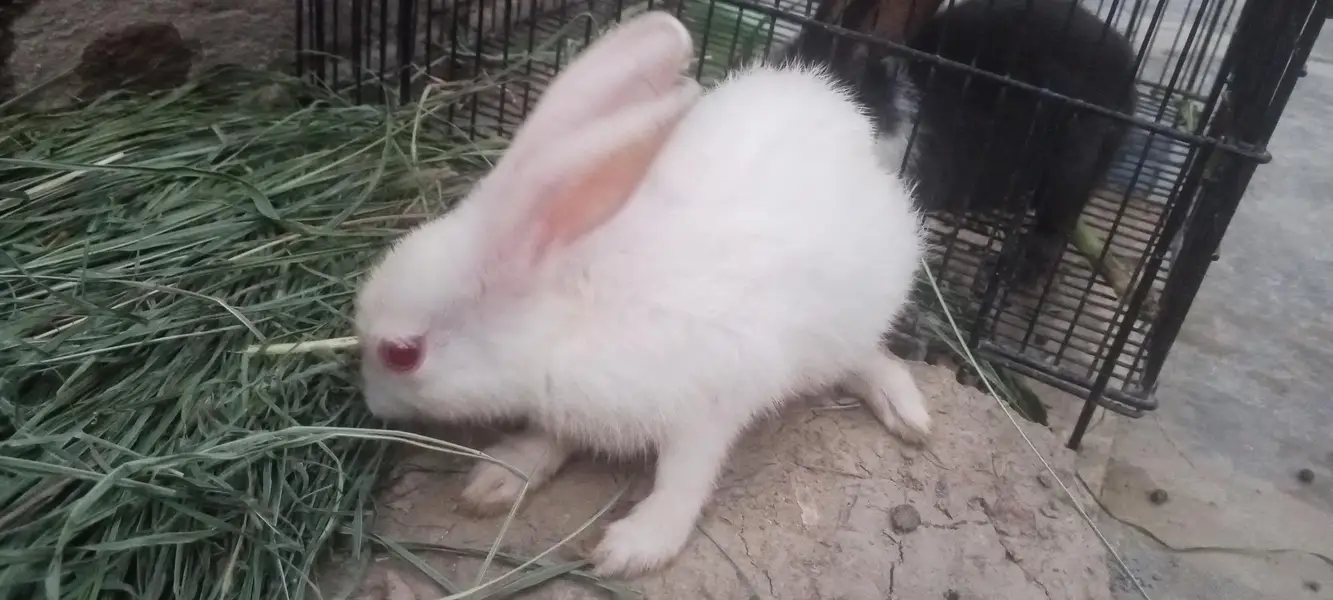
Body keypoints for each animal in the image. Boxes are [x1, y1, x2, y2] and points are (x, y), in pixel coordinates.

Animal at [353, 11, 931, 577]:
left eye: (402, 354)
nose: (373, 404)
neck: (564, 312)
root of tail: (840, 109)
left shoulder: (711, 403)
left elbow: (685, 477)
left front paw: (632, 547)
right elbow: (550, 437)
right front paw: (500, 476)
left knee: (868, 358)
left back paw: (907, 413)